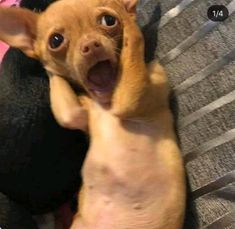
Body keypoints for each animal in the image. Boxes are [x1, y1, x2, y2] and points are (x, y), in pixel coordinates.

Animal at [0, 0, 187, 228]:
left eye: (109, 20)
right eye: (55, 41)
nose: (90, 45)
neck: (106, 104)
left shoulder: (132, 98)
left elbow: (133, 47)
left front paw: (128, 21)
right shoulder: (75, 114)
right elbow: (67, 109)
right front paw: (48, 66)